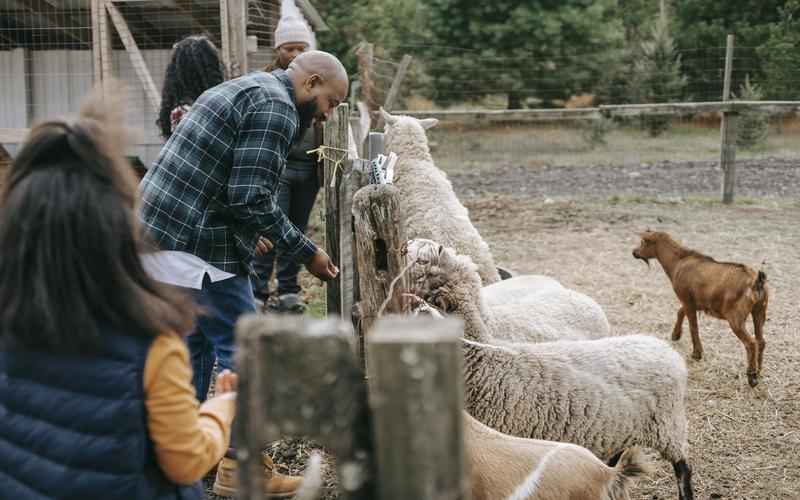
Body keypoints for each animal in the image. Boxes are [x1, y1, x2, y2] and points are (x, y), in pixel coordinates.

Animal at [632, 230, 768, 386]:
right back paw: (759, 371)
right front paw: (675, 335)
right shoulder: (693, 302)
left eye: (643, 242)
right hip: (759, 311)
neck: (678, 262)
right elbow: (680, 312)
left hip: (736, 318)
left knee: (751, 343)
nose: (634, 252)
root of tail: (756, 281)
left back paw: (752, 377)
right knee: (761, 341)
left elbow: (693, 326)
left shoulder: (687, 300)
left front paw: (697, 354)